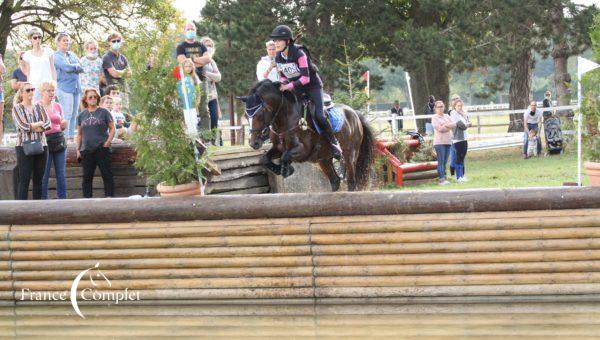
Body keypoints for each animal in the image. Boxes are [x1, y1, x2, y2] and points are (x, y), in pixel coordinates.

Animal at [237, 79, 372, 191]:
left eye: (259, 114)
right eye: (245, 116)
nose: (253, 143)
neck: (285, 119)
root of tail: (355, 113)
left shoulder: (304, 150)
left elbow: (285, 156)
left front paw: (287, 170)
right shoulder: (278, 148)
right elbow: (265, 158)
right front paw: (283, 169)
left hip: (350, 154)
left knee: (351, 181)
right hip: (324, 160)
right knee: (335, 181)